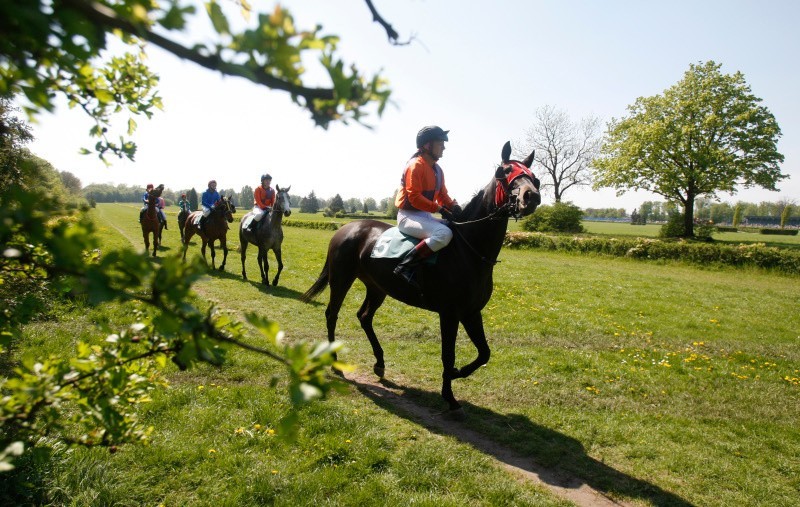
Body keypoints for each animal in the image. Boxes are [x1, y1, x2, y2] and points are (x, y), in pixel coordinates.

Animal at [304, 141, 540, 414]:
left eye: (532, 175)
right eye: (506, 171)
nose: (531, 196)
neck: (469, 250)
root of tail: (346, 228)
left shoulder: (471, 312)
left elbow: (484, 353)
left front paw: (457, 373)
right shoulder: (449, 314)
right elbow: (448, 354)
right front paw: (449, 396)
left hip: (377, 287)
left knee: (364, 317)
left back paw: (379, 363)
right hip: (341, 280)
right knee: (332, 314)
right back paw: (334, 361)